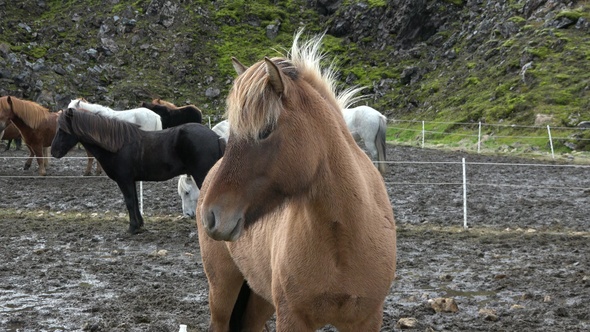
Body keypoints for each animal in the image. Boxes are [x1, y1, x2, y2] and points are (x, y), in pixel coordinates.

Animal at [51, 109, 224, 233]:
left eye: (62, 130)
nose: (53, 152)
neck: (118, 145)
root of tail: (216, 137)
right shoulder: (131, 180)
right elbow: (134, 201)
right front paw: (139, 225)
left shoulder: (124, 180)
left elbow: (129, 201)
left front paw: (132, 227)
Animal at [198, 30, 398, 330]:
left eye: (265, 131)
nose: (211, 216)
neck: (343, 240)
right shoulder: (292, 318)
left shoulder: (366, 319)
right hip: (222, 289)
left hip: (261, 299)